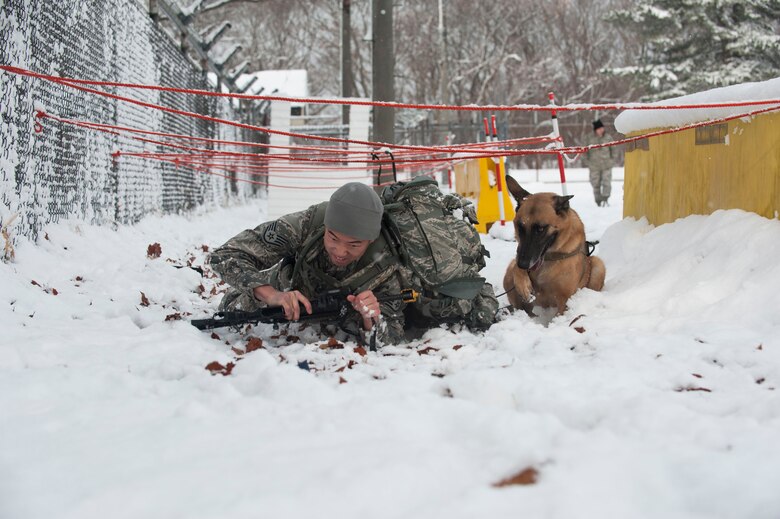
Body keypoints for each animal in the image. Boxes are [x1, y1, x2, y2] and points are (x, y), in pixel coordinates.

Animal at [502, 176, 608, 316]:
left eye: (540, 229)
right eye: (520, 227)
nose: (523, 264)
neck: (549, 258)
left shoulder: (565, 300)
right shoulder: (518, 257)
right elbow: (516, 266)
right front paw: (523, 285)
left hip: (598, 265)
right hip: (507, 278)